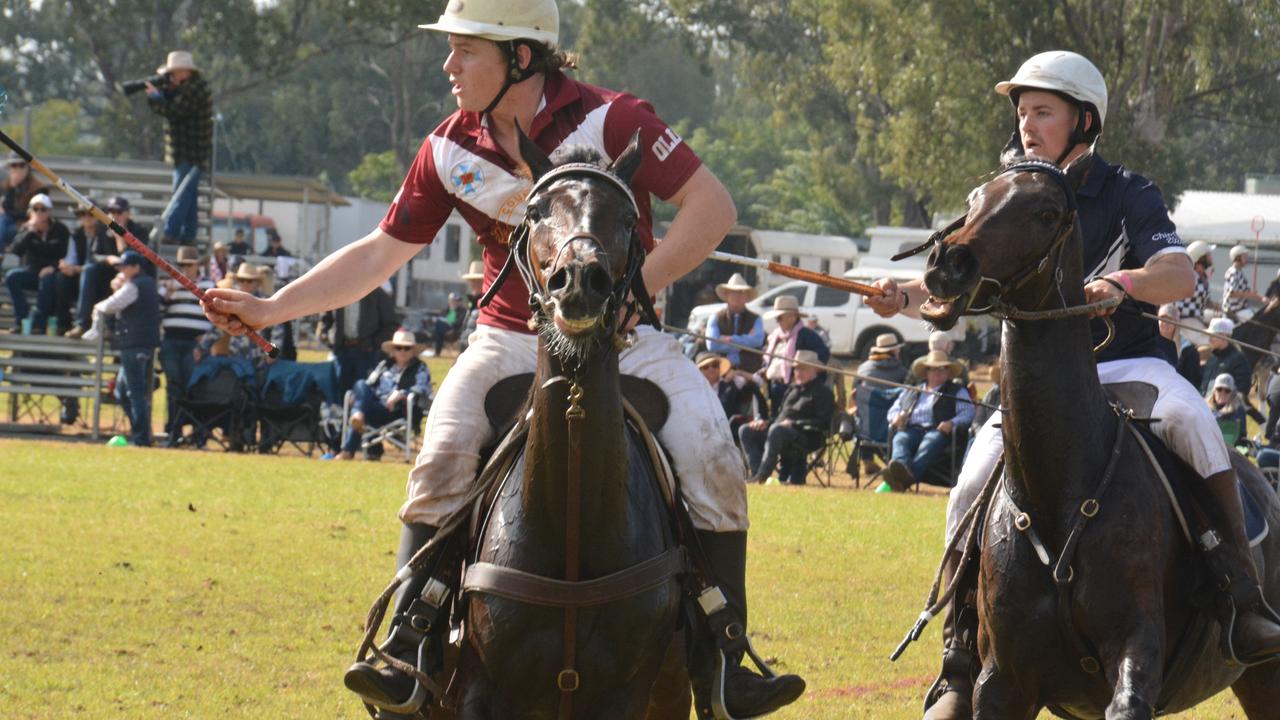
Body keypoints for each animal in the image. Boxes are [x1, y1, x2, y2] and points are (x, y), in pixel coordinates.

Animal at [916, 158, 1274, 717]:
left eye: (1045, 212)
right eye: (974, 199)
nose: (946, 263)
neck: (1060, 490)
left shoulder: (1135, 650)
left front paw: (1108, 288)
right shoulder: (1002, 681)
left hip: (1265, 672)